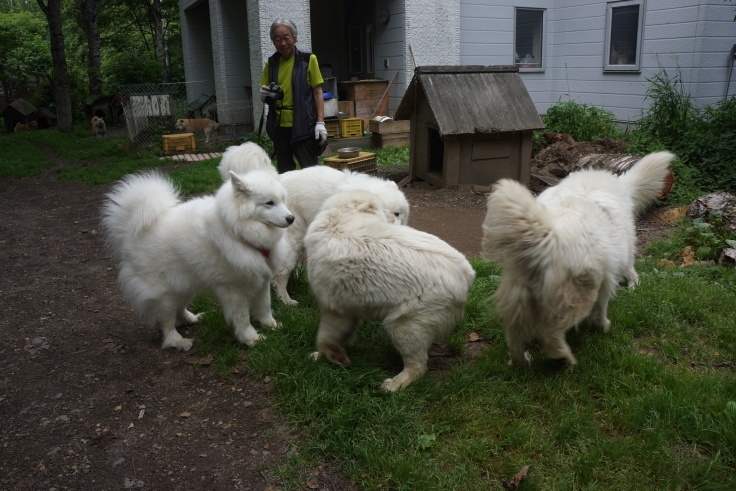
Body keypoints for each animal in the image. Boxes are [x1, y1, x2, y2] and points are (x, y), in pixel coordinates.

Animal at [101, 169, 296, 350]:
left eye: (282, 200)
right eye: (269, 203)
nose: (291, 218)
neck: (238, 231)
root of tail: (131, 232)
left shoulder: (262, 279)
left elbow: (265, 308)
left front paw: (272, 326)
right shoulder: (234, 289)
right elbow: (243, 318)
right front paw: (251, 339)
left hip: (184, 285)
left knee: (179, 312)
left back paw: (193, 318)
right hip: (165, 294)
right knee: (167, 323)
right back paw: (178, 341)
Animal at [480, 152, 676, 368]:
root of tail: (545, 238)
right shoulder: (614, 267)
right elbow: (606, 302)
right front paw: (604, 324)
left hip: (519, 300)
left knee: (515, 337)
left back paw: (521, 363)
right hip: (576, 297)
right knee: (552, 334)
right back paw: (563, 357)